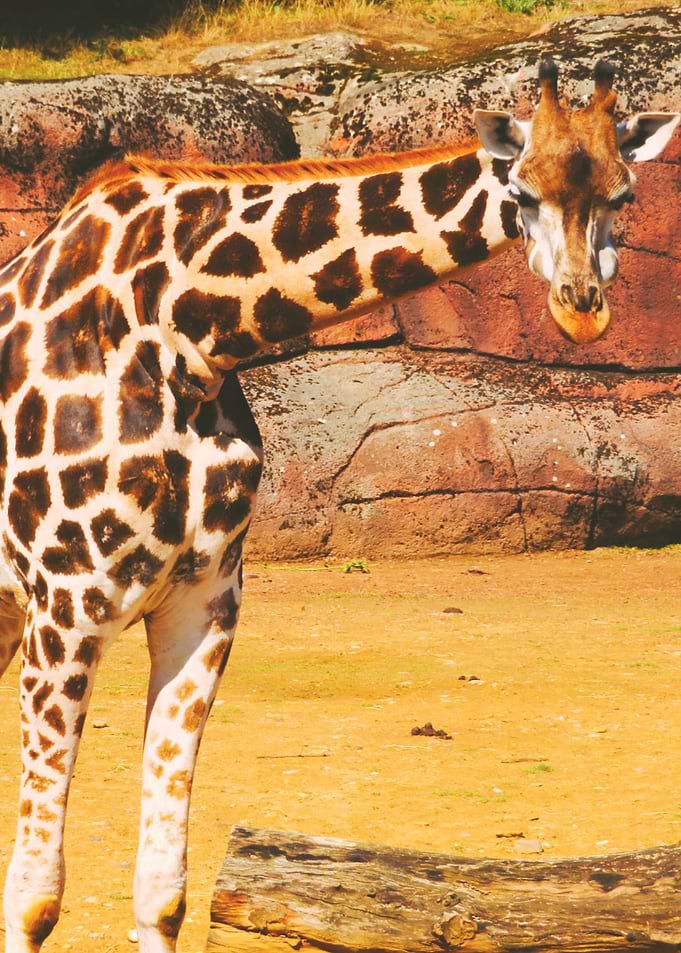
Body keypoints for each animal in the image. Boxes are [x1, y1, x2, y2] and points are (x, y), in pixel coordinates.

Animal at [0, 60, 677, 952]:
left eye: (622, 192)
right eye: (521, 190)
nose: (580, 307)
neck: (187, 332)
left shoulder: (201, 601)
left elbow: (162, 888)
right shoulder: (67, 607)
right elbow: (34, 895)